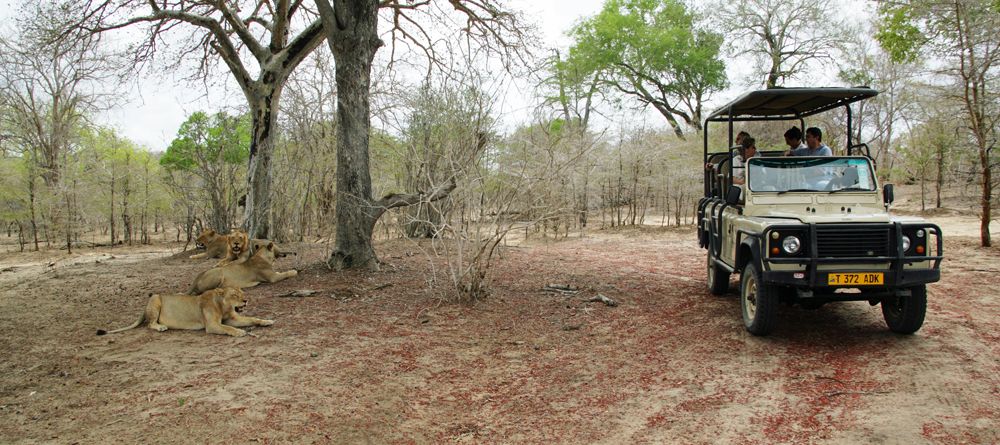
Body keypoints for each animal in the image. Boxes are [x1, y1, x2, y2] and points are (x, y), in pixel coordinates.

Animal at [96, 287, 273, 337]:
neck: (223, 307)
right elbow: (228, 328)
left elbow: (253, 318)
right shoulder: (212, 326)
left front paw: (267, 321)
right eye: (234, 295)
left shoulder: (232, 318)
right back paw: (161, 327)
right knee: (150, 324)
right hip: (156, 299)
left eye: (243, 292)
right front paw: (239, 332)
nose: (246, 300)